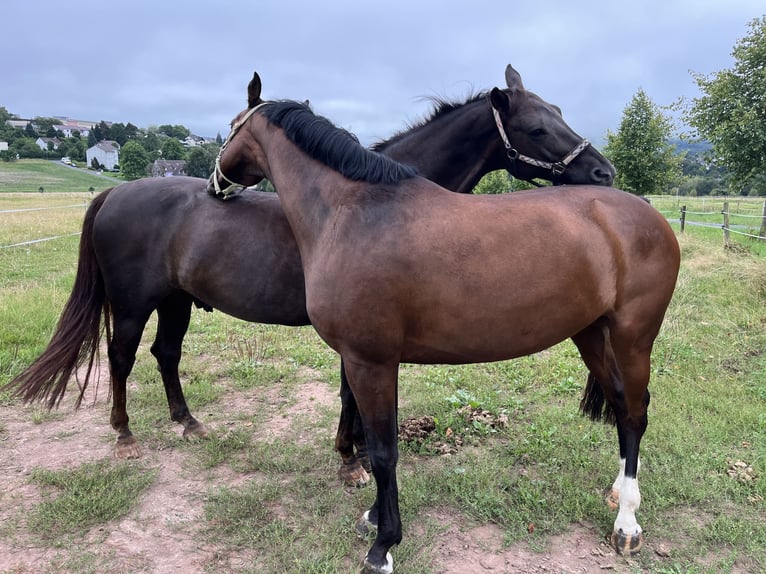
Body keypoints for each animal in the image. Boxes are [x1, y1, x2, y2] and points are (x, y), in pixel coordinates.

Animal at [4, 66, 616, 490]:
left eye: (560, 113)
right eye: (538, 128)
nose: (604, 172)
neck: (371, 198)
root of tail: (114, 193)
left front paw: (355, 454)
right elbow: (350, 395)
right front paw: (352, 461)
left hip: (176, 301)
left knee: (165, 355)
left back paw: (188, 423)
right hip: (133, 305)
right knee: (122, 358)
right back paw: (125, 436)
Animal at [207, 88, 680, 572]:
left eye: (230, 127)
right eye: (537, 127)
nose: (215, 182)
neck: (352, 211)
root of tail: (643, 209)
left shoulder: (369, 362)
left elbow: (383, 451)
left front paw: (383, 544)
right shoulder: (370, 363)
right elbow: (374, 440)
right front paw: (373, 516)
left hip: (633, 337)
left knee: (635, 413)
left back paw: (627, 524)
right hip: (591, 333)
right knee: (622, 405)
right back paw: (618, 493)